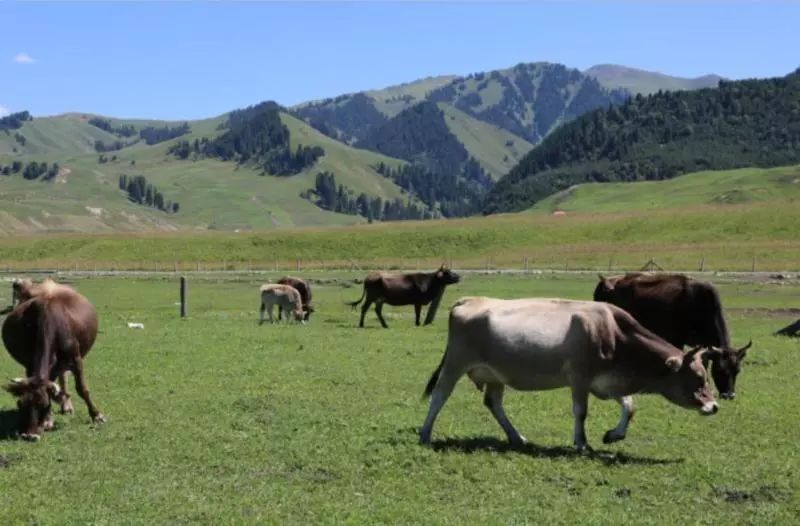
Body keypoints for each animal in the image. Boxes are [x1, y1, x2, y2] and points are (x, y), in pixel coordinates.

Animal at [1, 278, 106, 444]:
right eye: (20, 404)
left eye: (43, 404)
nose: (29, 435)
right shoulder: (30, 365)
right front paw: (48, 420)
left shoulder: (76, 359)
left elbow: (82, 389)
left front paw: (97, 415)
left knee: (64, 377)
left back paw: (67, 405)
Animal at [418, 300, 720, 452]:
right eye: (697, 376)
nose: (714, 405)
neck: (614, 334)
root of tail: (468, 300)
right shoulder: (579, 378)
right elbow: (581, 412)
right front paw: (582, 443)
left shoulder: (609, 382)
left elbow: (630, 406)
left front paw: (614, 435)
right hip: (455, 364)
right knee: (440, 396)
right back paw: (425, 433)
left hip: (494, 375)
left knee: (493, 403)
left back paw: (517, 437)